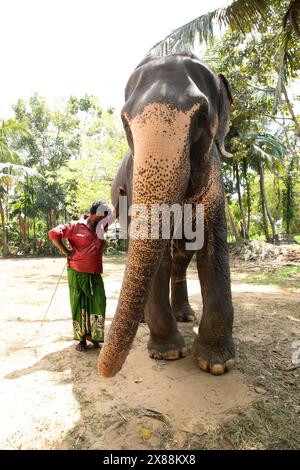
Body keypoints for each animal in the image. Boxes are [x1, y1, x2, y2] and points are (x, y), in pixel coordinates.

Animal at [98, 52, 234, 378]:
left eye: (202, 116)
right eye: (125, 122)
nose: (102, 370)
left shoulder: (214, 176)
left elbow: (214, 248)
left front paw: (216, 364)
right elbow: (157, 254)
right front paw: (168, 352)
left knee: (182, 255)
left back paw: (185, 315)